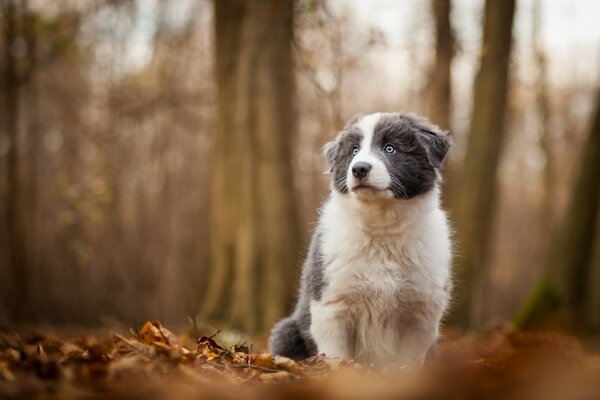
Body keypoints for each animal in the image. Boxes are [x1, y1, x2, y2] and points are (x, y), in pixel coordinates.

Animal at [270, 111, 452, 366]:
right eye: (354, 151)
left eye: (390, 148)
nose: (359, 168)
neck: (381, 227)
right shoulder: (332, 306)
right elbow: (335, 355)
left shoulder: (420, 311)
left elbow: (408, 361)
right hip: (287, 331)